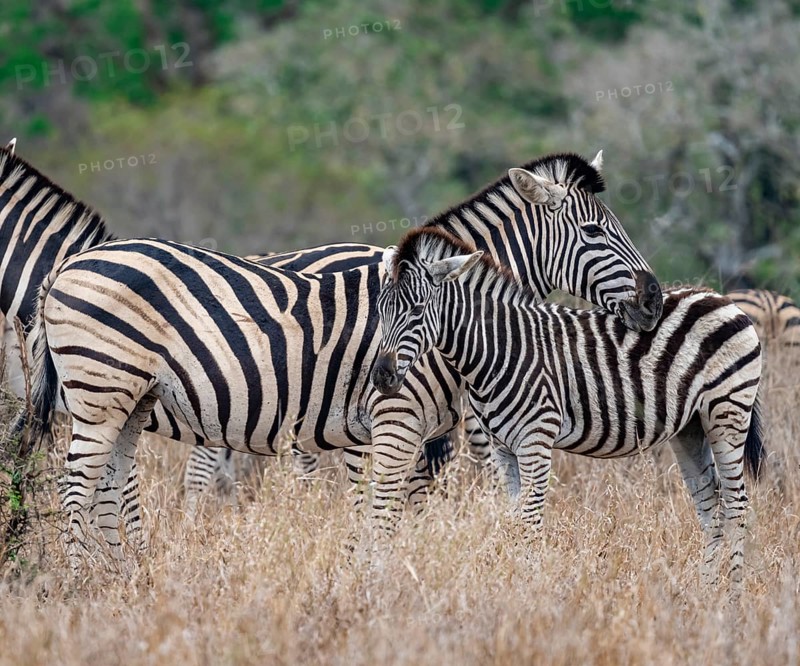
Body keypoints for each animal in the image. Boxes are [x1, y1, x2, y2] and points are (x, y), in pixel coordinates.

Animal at [23, 152, 664, 561]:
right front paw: (372, 587)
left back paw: (124, 578)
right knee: (77, 490)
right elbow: (380, 514)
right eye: (593, 232)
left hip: (128, 403)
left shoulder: (409, 433)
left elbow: (397, 514)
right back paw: (85, 584)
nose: (654, 298)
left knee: (107, 491)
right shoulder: (394, 419)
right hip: (100, 396)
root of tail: (70, 264)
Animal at [372, 228, 763, 586]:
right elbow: (514, 519)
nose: (381, 376)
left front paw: (529, 592)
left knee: (738, 505)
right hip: (690, 426)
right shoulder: (502, 448)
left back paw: (732, 597)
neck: (497, 349)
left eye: (417, 310)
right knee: (711, 505)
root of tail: (719, 297)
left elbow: (529, 522)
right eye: (381, 311)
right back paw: (705, 592)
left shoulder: (535, 441)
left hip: (727, 412)